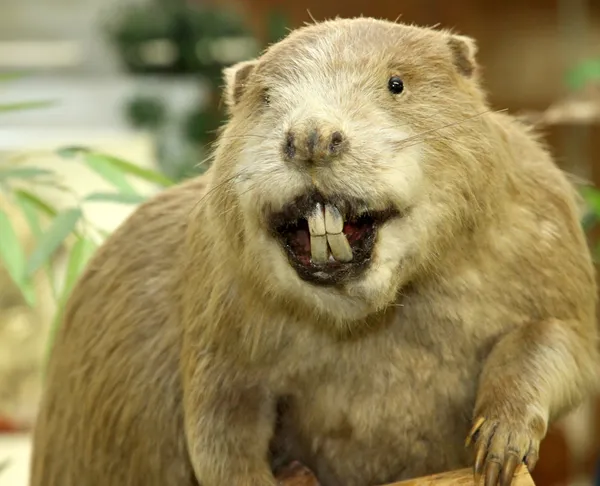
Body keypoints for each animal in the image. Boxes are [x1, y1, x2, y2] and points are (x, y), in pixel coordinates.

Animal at [29, 15, 600, 486]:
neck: (372, 326)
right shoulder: (217, 300)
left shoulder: (540, 227)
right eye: (264, 98)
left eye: (396, 83)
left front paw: (498, 446)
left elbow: (563, 343)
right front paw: (277, 474)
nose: (312, 136)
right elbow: (219, 426)